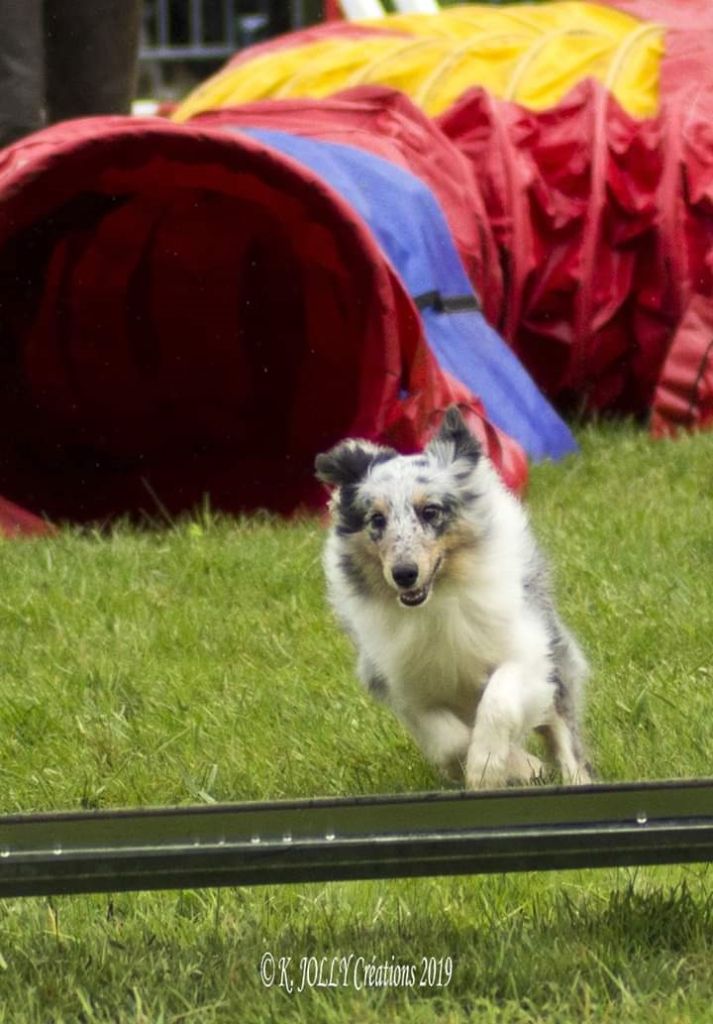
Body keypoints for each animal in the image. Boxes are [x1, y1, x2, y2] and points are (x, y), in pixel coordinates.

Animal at [315, 403, 590, 786]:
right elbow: (449, 741)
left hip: (556, 657)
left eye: (430, 511)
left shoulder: (526, 652)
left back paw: (575, 778)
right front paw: (515, 766)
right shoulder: (403, 684)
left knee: (562, 730)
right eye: (377, 519)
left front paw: (487, 766)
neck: (438, 598)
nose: (404, 574)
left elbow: (498, 703)